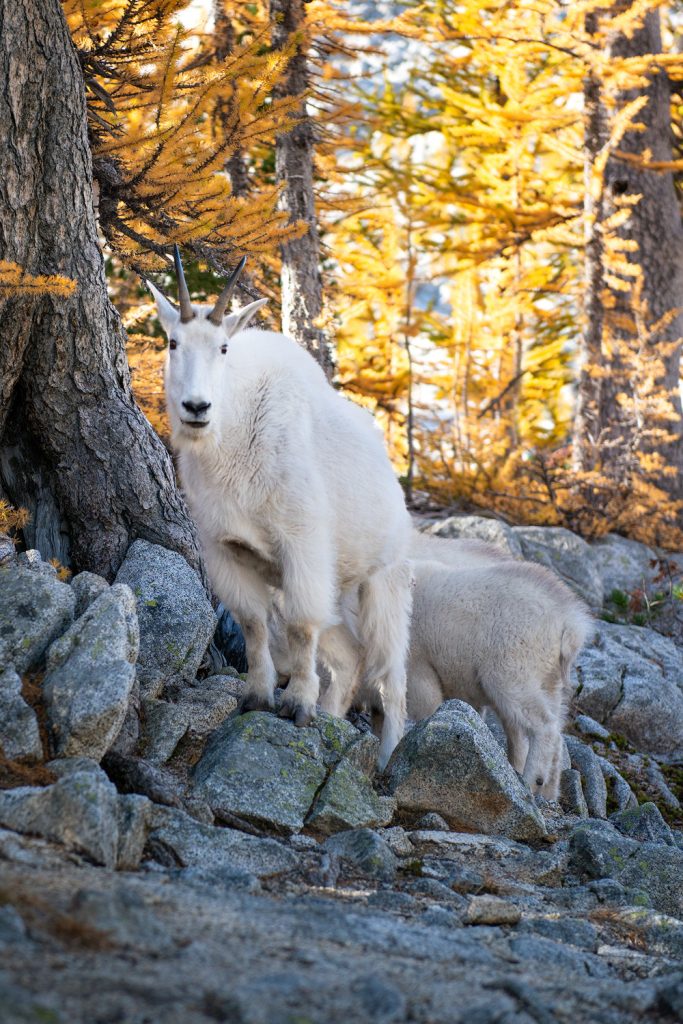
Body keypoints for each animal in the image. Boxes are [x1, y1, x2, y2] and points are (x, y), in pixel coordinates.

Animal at [148, 249, 411, 770]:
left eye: (223, 348)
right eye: (172, 342)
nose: (196, 407)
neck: (233, 434)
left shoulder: (301, 543)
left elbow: (299, 626)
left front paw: (298, 706)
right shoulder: (227, 548)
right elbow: (254, 623)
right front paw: (258, 697)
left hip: (385, 582)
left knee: (392, 678)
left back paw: (389, 758)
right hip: (341, 586)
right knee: (349, 656)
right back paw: (334, 716)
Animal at [270, 536, 589, 798]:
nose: (278, 678)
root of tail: (569, 622)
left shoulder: (417, 676)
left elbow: (417, 715)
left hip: (512, 675)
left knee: (544, 727)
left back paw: (531, 779)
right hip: (545, 682)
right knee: (544, 735)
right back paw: (544, 791)